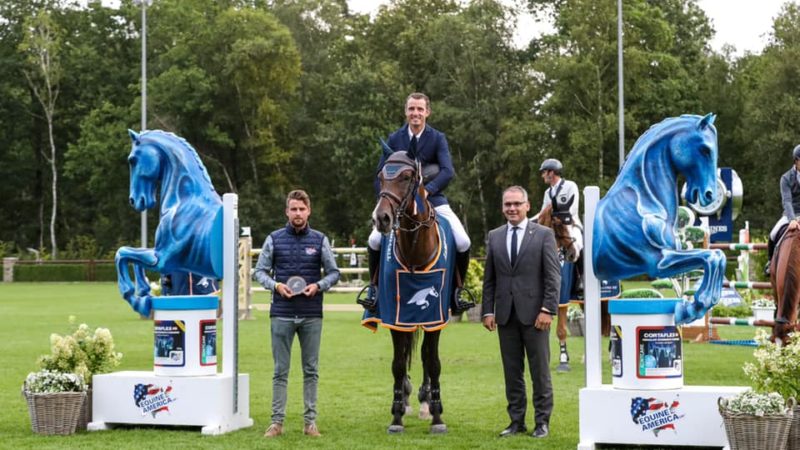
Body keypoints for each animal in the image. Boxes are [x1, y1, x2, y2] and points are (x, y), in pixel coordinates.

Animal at [115, 128, 222, 316]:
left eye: (132, 160)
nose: (134, 200)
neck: (183, 200)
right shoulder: (159, 255)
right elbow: (132, 257)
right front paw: (144, 292)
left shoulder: (160, 259)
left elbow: (122, 253)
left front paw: (137, 299)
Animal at [362, 147, 456, 432]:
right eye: (381, 177)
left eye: (406, 177)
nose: (381, 218)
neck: (416, 251)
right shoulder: (396, 318)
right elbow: (398, 363)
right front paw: (396, 415)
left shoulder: (436, 319)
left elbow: (433, 362)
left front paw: (437, 416)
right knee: (405, 355)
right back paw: (406, 398)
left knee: (425, 355)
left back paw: (426, 402)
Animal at [592, 112, 724, 324]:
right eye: (705, 149)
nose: (709, 195)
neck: (646, 202)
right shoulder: (659, 262)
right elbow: (711, 256)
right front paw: (693, 308)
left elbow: (718, 255)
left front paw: (691, 308)